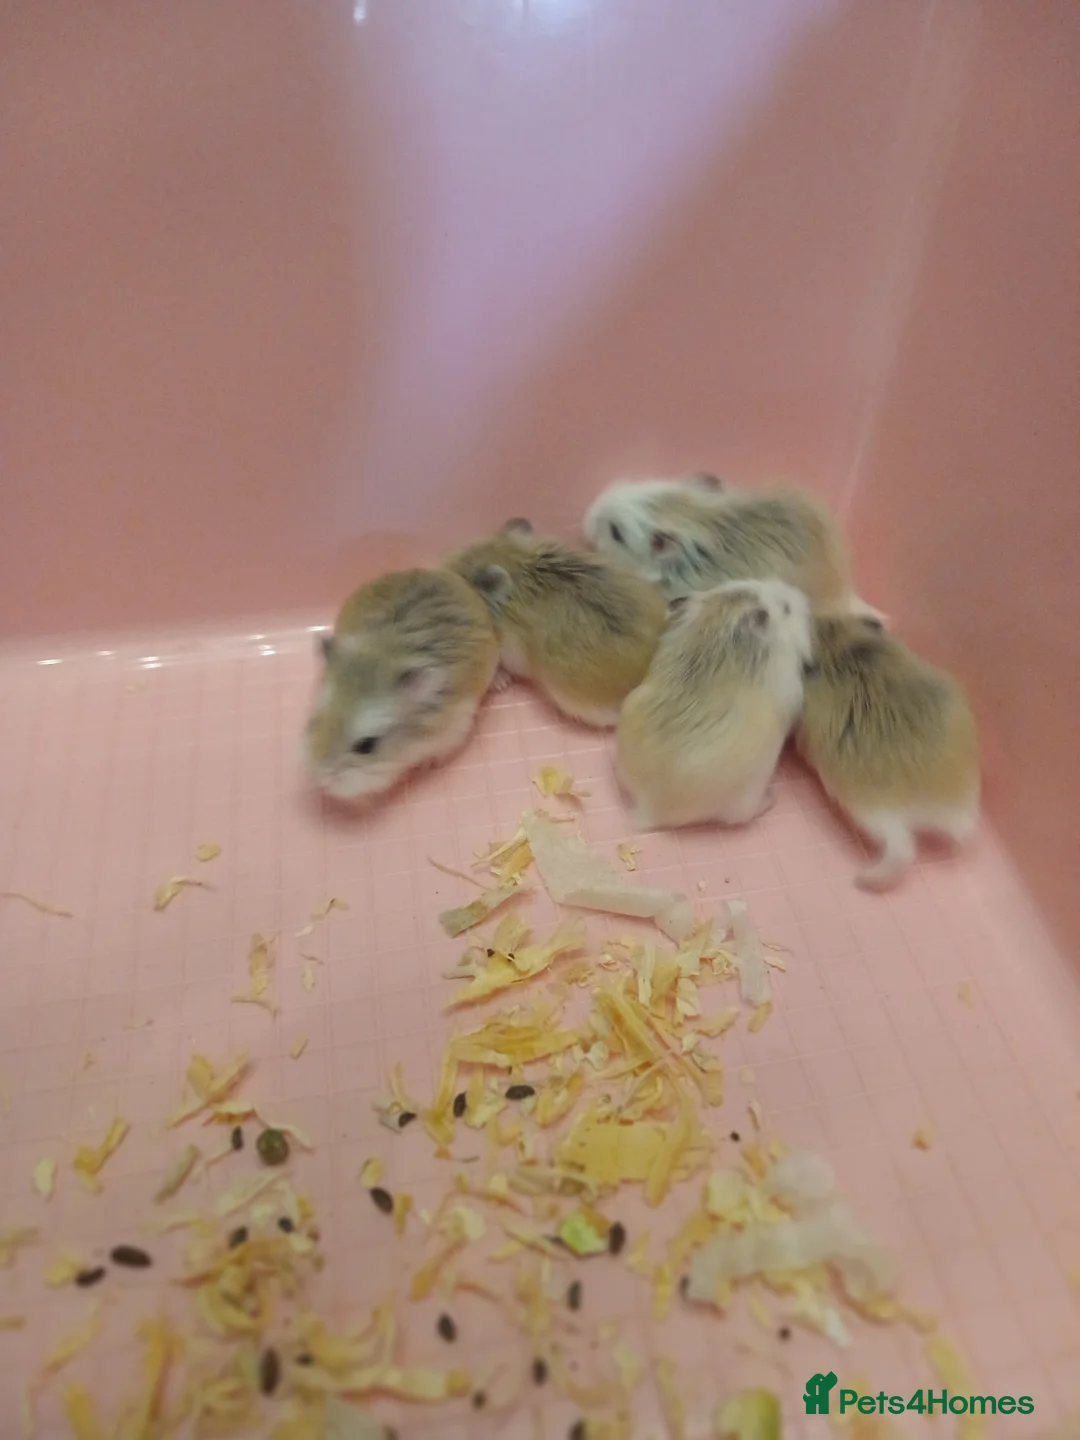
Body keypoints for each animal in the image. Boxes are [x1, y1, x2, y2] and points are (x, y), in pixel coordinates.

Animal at [304, 568, 499, 801]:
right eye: (313, 722)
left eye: (367, 746)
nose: (323, 779)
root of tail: (447, 574)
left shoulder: (454, 729)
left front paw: (427, 765)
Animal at [616, 578, 813, 829]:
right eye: (786, 608)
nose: (802, 595)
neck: (720, 623)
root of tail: (648, 809)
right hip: (745, 799)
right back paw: (771, 800)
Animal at [795, 615, 980, 889]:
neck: (839, 645)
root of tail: (941, 801)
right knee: (964, 834)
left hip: (873, 814)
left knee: (902, 851)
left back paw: (863, 879)